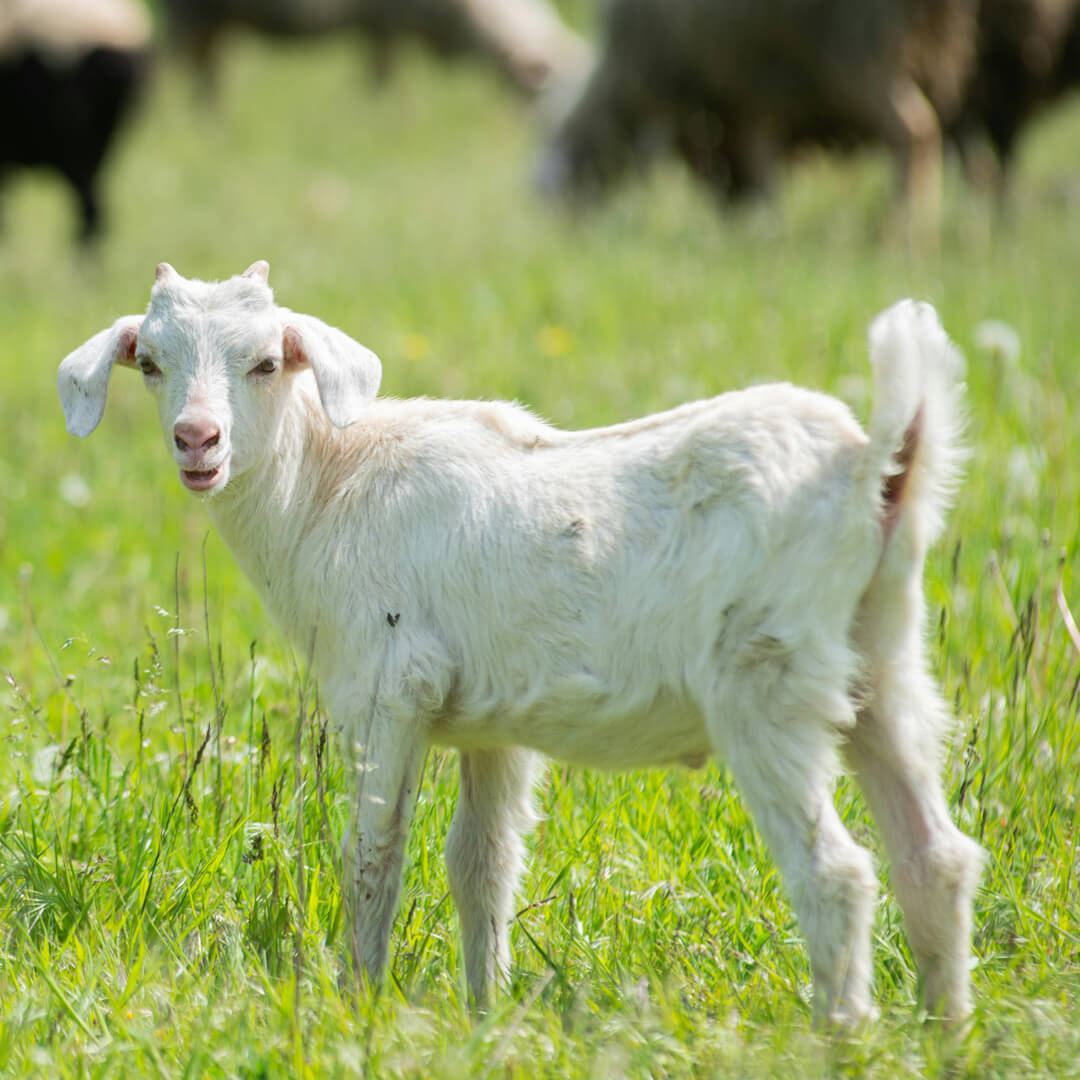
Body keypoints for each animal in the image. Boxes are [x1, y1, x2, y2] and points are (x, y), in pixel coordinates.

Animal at [57, 262, 982, 1024]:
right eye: (151, 363)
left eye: (265, 363)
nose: (198, 441)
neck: (326, 489)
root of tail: (873, 469)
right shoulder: (492, 725)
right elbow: (482, 865)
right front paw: (485, 1012)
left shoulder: (388, 686)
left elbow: (373, 855)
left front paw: (359, 1007)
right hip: (885, 665)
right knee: (934, 857)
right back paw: (944, 1032)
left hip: (767, 684)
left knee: (836, 873)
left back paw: (842, 1034)